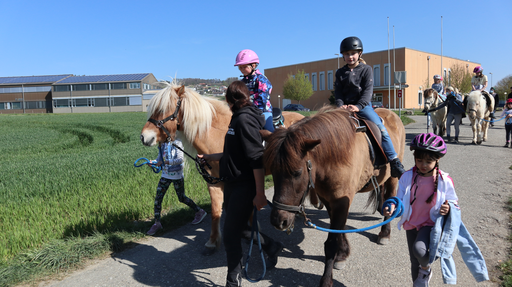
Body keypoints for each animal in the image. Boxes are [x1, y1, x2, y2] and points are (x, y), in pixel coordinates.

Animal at [140, 82, 304, 255]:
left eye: (163, 109)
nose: (144, 137)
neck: (219, 136)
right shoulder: (214, 183)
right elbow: (216, 211)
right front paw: (212, 242)